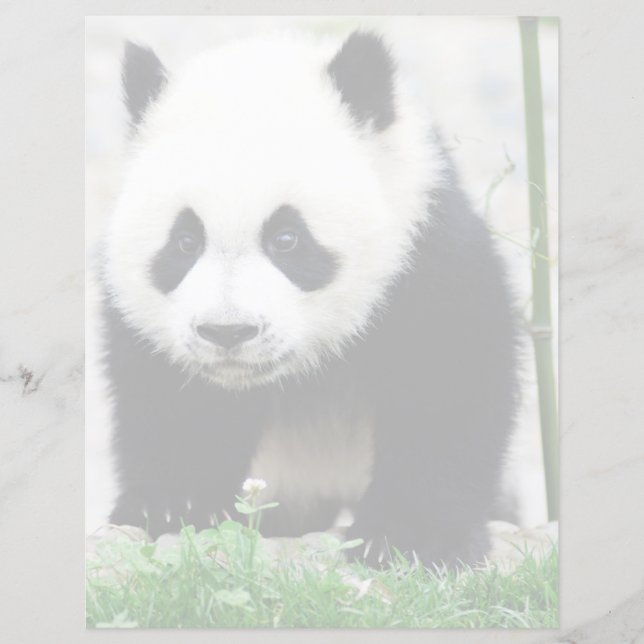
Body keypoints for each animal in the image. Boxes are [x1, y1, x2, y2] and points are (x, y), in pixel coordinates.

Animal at [98, 30, 519, 567]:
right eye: (185, 241)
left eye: (287, 238)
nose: (228, 331)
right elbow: (171, 401)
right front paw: (174, 506)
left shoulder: (424, 248)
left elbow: (445, 382)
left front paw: (410, 539)